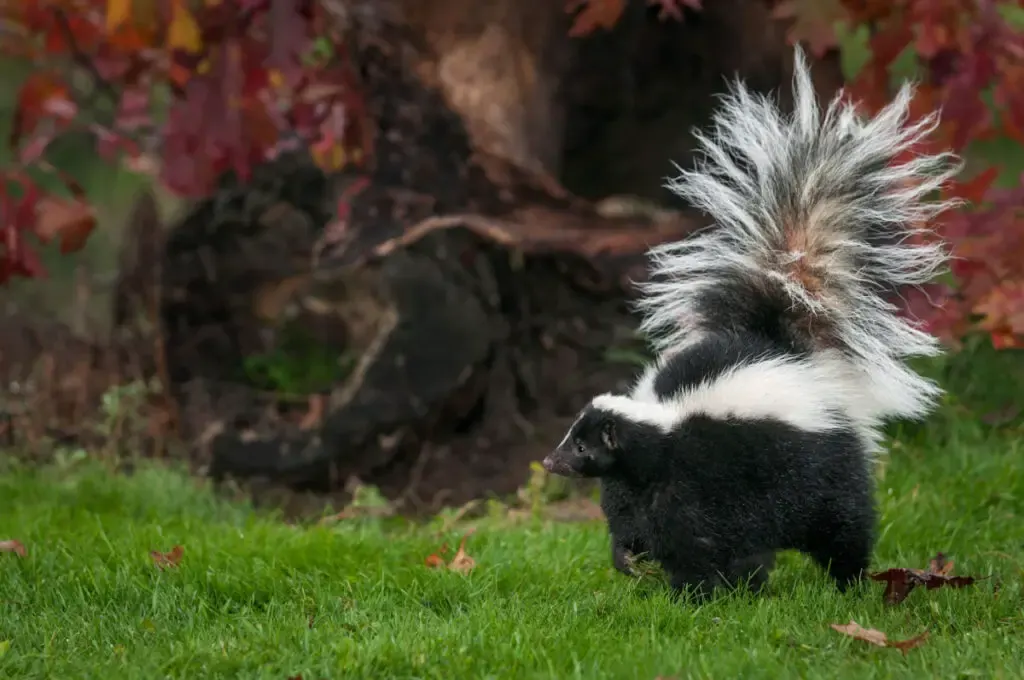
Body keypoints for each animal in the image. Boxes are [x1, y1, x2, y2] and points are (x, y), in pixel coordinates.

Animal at [544, 47, 958, 598]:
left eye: (581, 444)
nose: (550, 461)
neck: (660, 430)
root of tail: (790, 349)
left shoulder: (707, 477)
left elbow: (704, 536)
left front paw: (699, 590)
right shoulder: (637, 486)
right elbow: (633, 521)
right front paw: (631, 559)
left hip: (825, 465)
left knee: (844, 525)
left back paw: (848, 582)